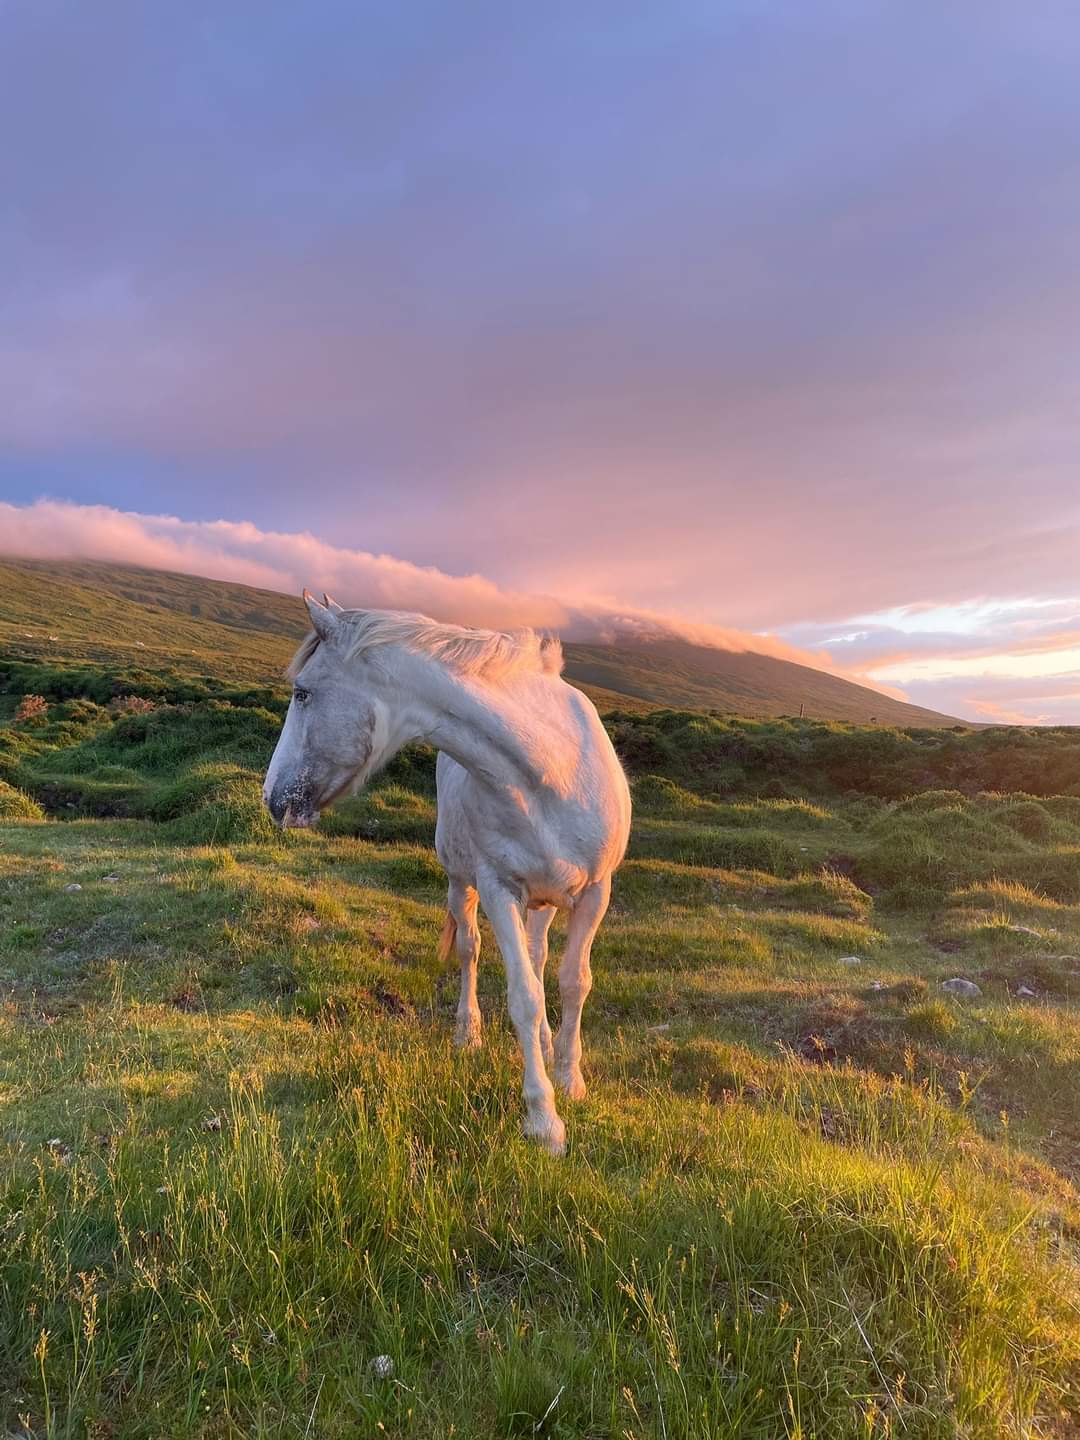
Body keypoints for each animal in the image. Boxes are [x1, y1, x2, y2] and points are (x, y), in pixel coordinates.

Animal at [264, 590, 633, 1152]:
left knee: (539, 955)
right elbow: (524, 996)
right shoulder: (499, 888)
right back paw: (468, 1033)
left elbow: (574, 982)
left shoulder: (595, 893)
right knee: (471, 950)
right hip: (464, 885)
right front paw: (543, 1119)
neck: (551, 771)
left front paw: (570, 1080)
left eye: (302, 693)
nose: (272, 797)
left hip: (548, 901)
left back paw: (548, 1046)